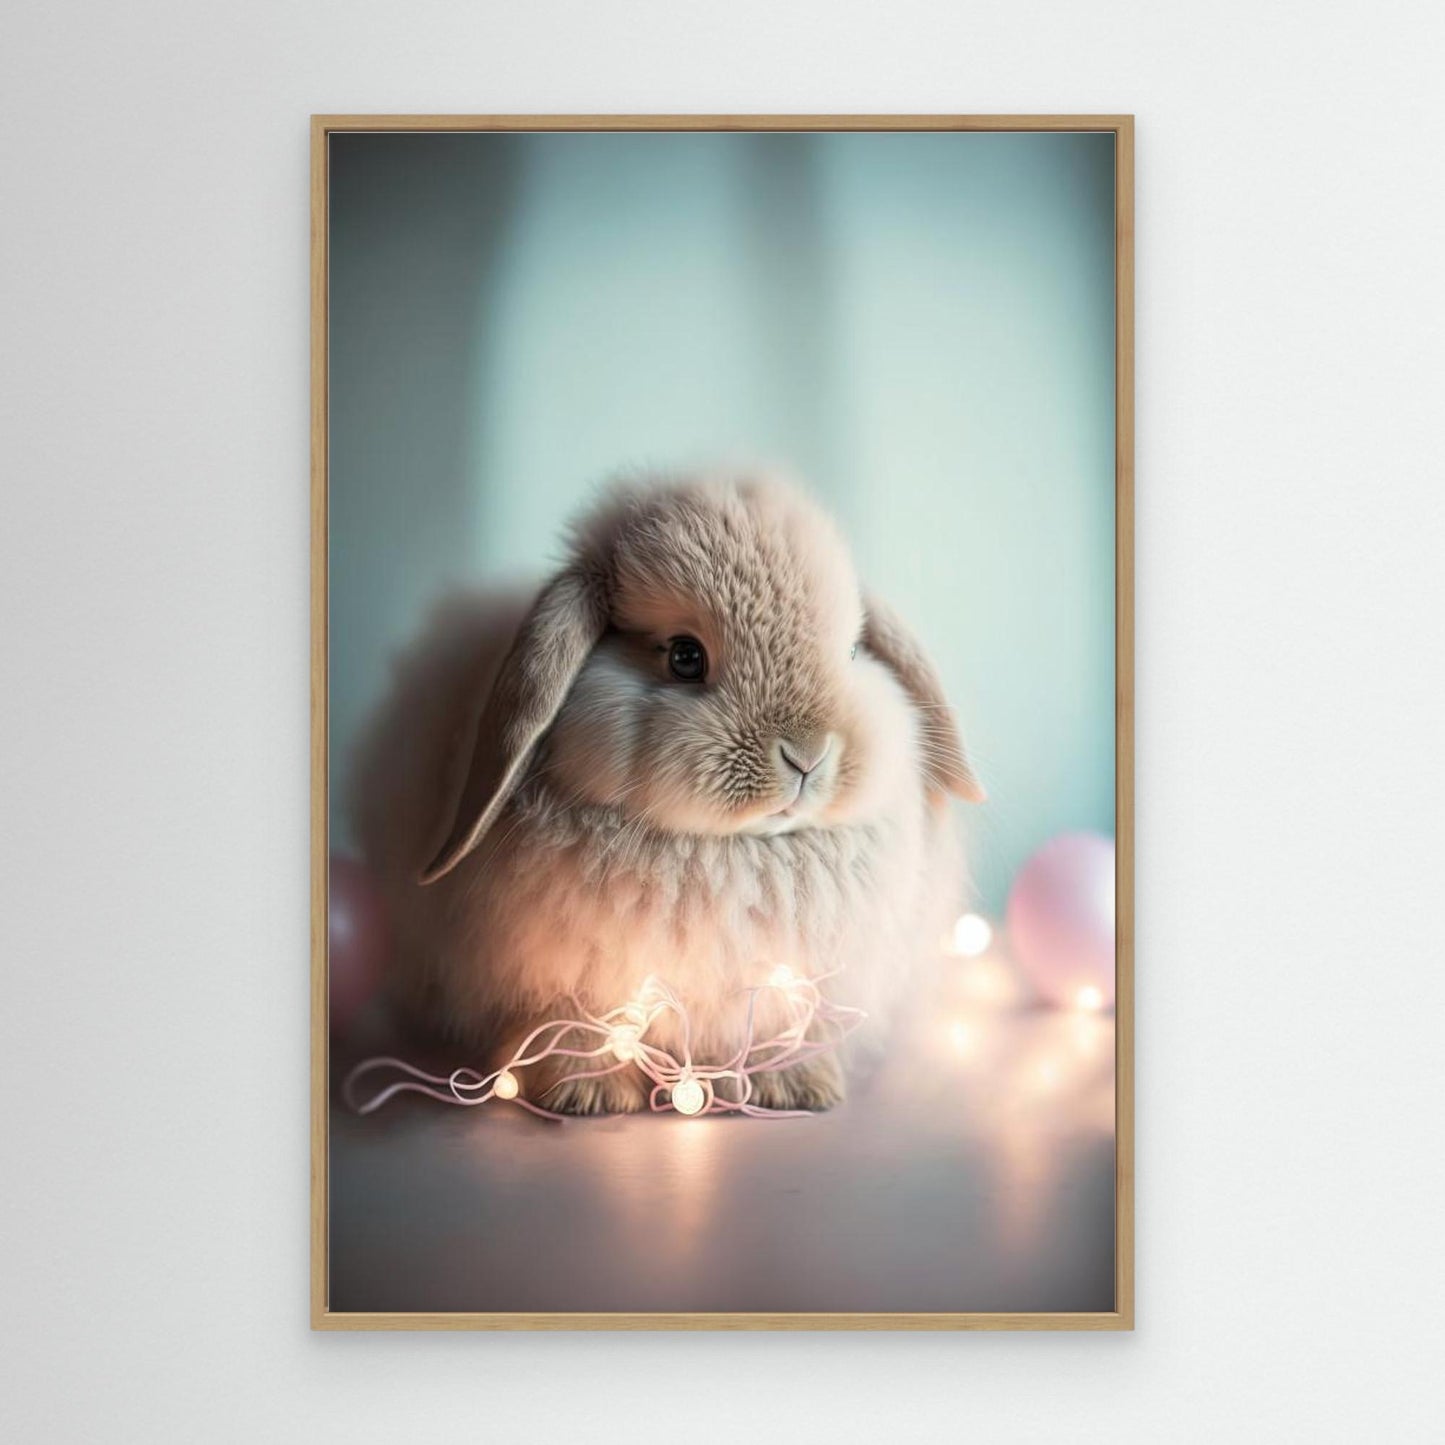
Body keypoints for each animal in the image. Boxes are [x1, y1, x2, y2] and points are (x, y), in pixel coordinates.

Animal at [349, 469, 984, 1114]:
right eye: (684, 656)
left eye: (853, 652)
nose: (806, 755)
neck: (729, 852)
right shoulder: (561, 980)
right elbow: (575, 1024)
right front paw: (588, 1094)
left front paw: (794, 1086)